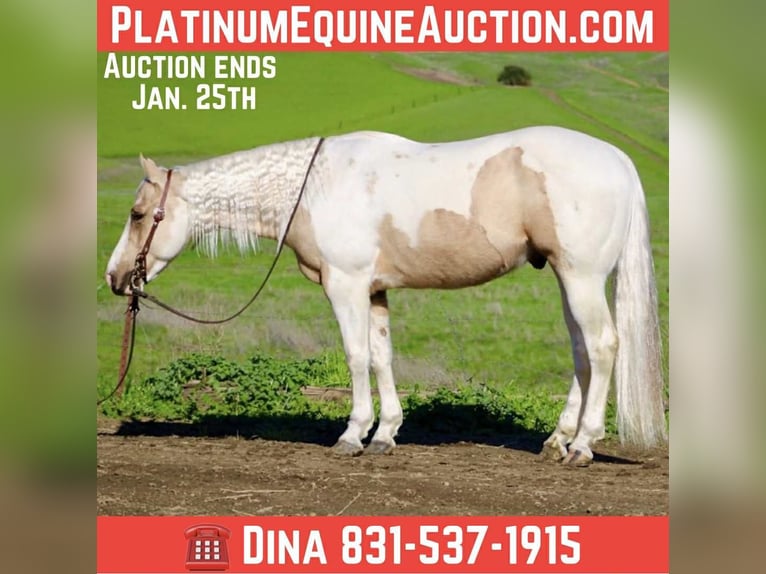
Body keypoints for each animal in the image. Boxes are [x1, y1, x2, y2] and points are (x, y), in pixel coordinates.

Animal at [105, 126, 666, 465]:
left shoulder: (346, 286)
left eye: (137, 214)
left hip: (582, 277)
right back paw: (557, 440)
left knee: (603, 346)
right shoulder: (374, 292)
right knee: (582, 352)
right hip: (571, 279)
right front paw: (386, 433)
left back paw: (584, 445)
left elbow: (355, 357)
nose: (115, 277)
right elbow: (381, 357)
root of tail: (618, 160)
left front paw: (352, 435)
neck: (315, 187)